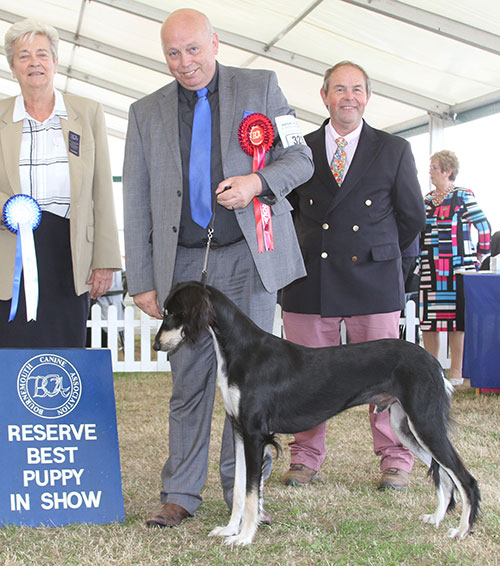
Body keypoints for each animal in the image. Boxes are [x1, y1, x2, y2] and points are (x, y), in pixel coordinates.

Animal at [153, 282, 480, 548]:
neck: (241, 350)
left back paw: (462, 530)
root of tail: (434, 362)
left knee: (464, 477)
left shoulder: (255, 434)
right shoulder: (238, 430)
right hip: (406, 426)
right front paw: (230, 530)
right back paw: (437, 518)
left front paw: (244, 537)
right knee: (443, 473)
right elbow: (239, 490)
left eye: (172, 313)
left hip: (425, 422)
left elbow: (250, 493)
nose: (156, 345)